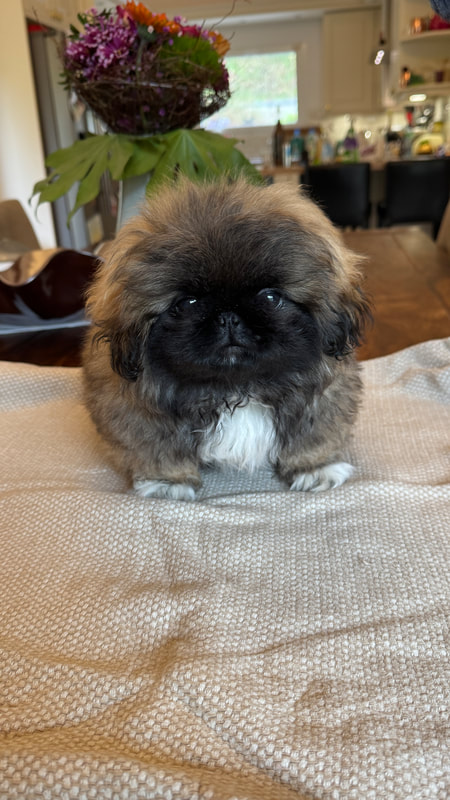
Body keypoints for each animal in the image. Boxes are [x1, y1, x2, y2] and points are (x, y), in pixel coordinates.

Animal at [82, 177, 370, 500]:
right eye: (187, 303)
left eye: (271, 297)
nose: (229, 317)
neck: (236, 387)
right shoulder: (139, 417)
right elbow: (159, 451)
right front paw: (169, 483)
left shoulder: (321, 402)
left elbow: (314, 436)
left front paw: (315, 468)